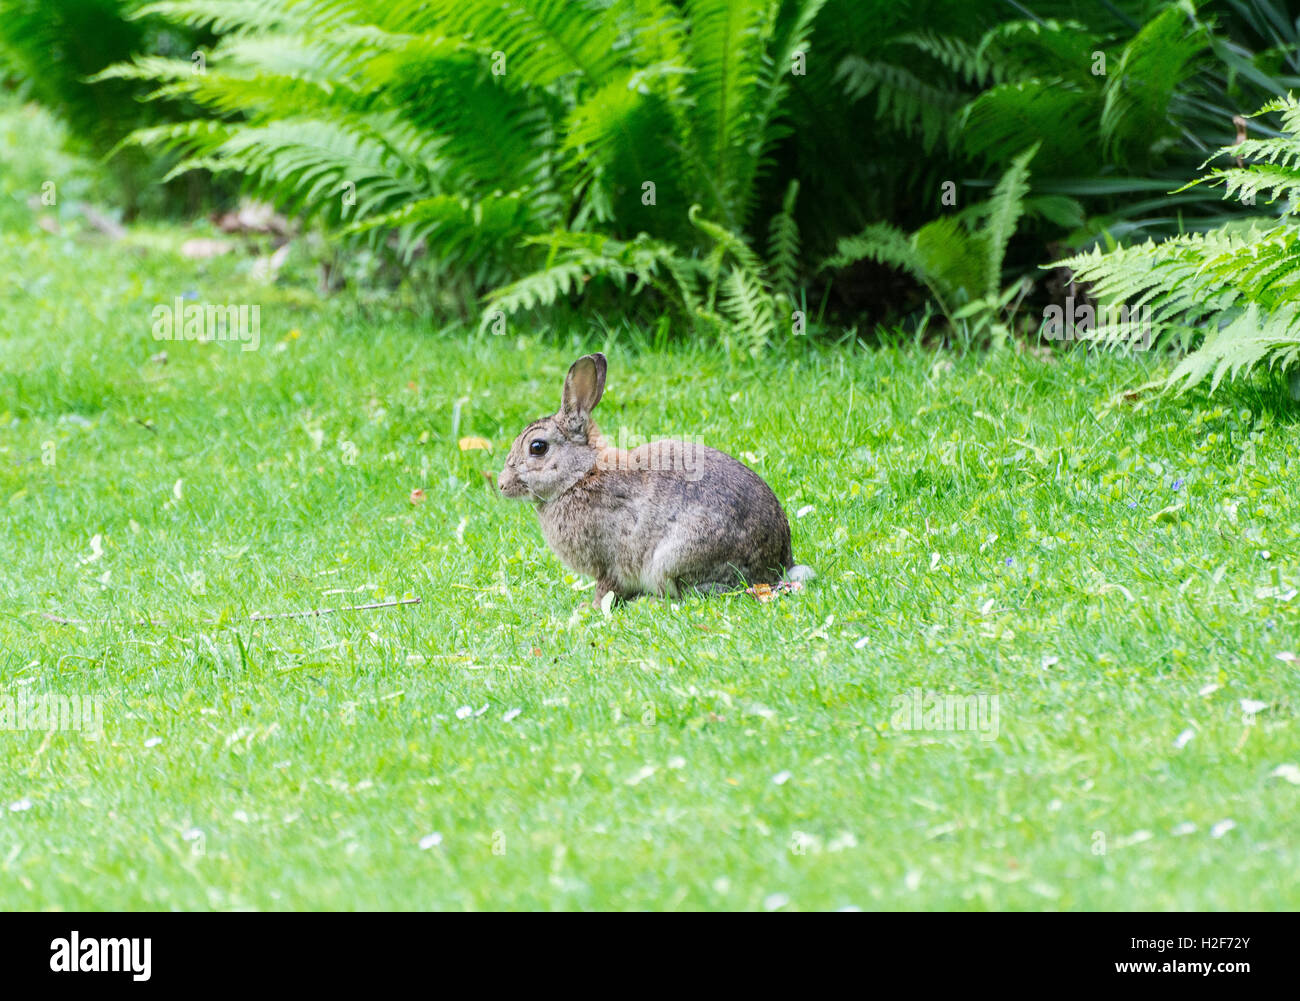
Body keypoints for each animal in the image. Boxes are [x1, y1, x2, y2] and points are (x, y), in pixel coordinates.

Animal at [498, 352, 813, 604]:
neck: (579, 476)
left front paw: (589, 608)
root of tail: (777, 565)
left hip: (675, 557)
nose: (501, 485)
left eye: (538, 447)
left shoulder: (608, 564)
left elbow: (606, 588)